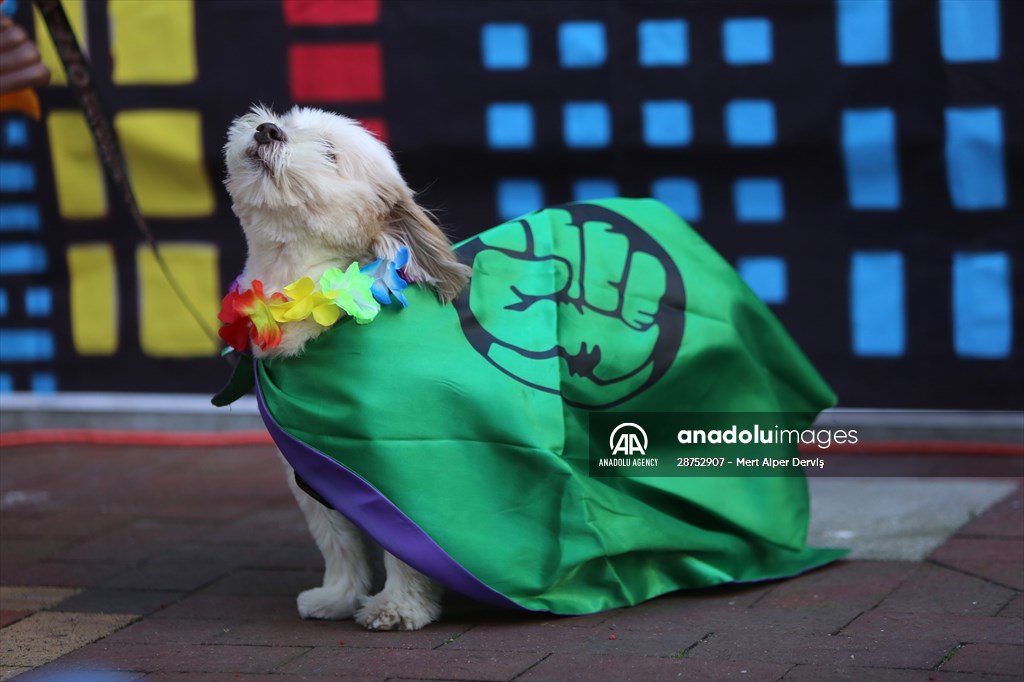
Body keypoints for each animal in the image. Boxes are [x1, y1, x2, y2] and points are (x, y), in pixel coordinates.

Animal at [224, 103, 471, 630]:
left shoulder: (398, 467)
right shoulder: (314, 469)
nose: (267, 130)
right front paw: (337, 597)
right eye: (285, 122)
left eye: (330, 152)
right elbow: (338, 544)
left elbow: (408, 548)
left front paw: (398, 607)